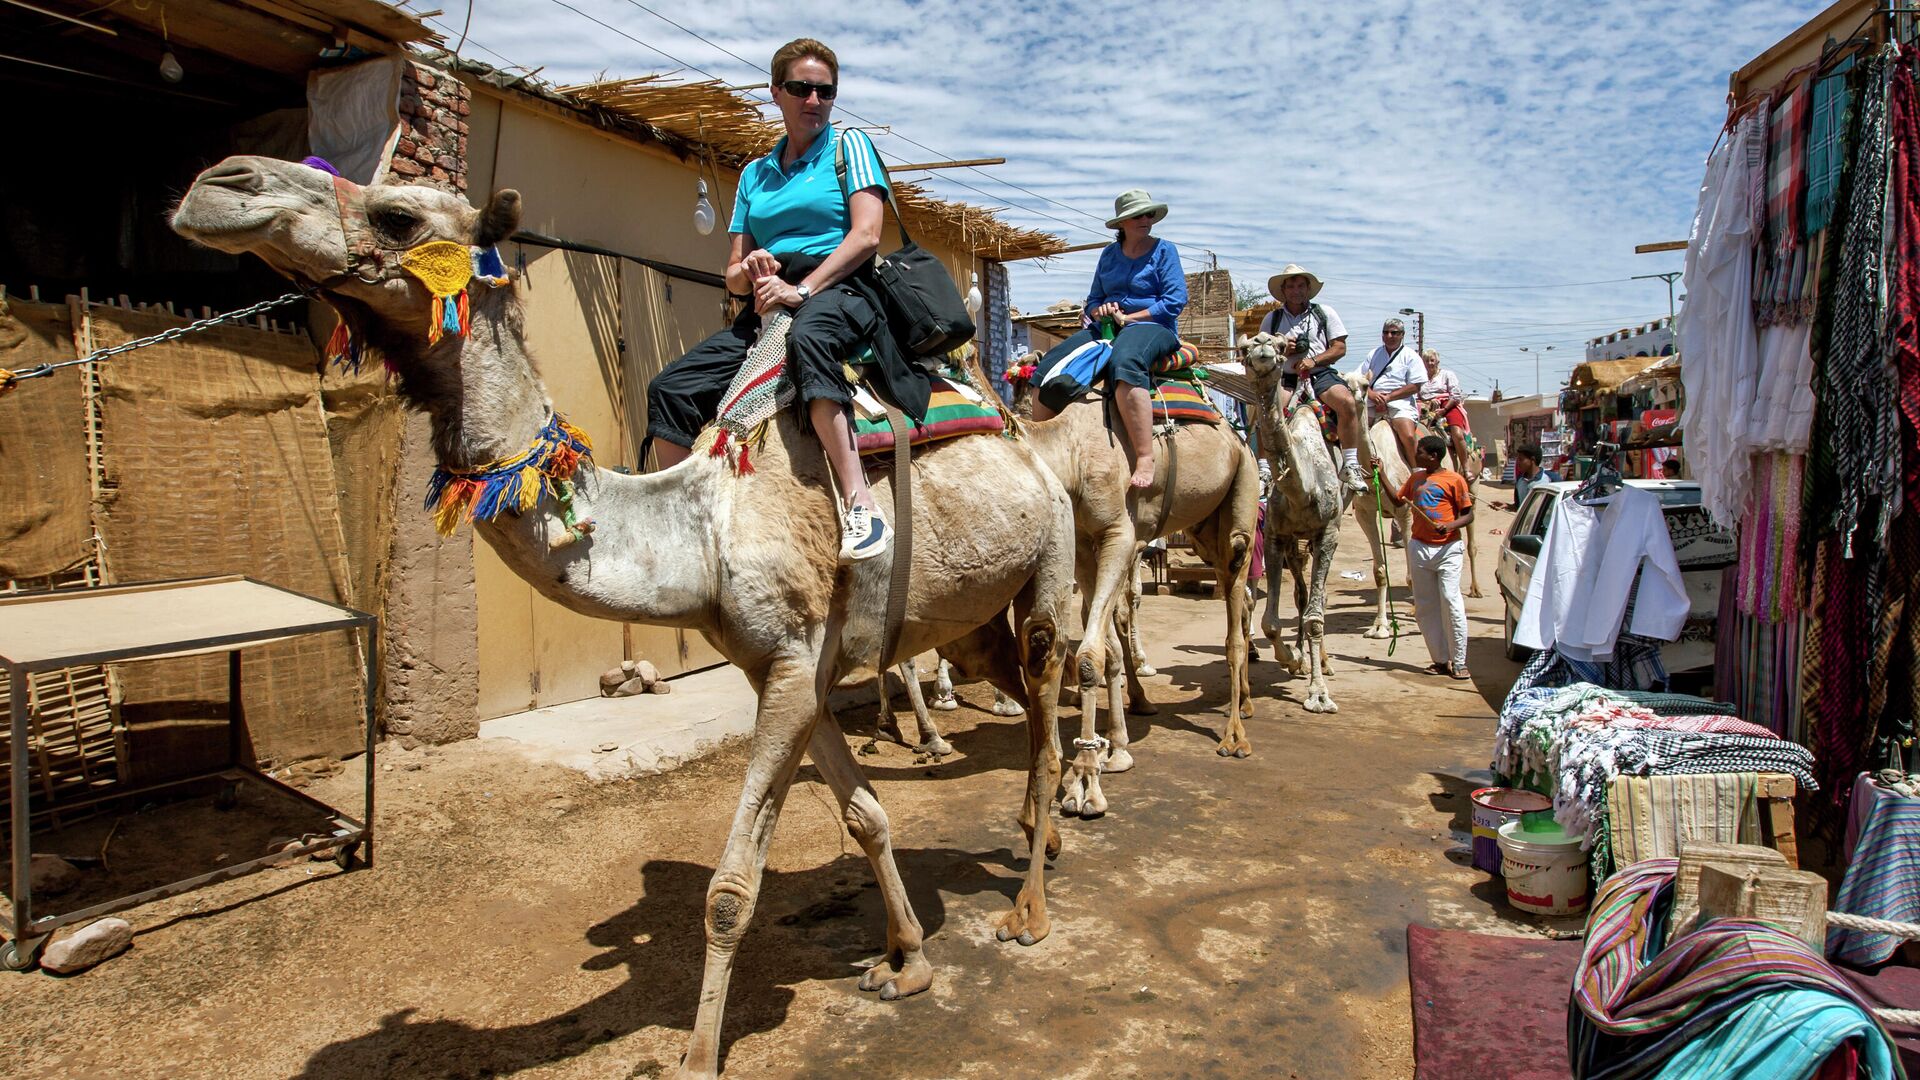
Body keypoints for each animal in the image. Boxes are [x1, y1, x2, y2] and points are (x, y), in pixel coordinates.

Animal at [172, 153, 1082, 1076]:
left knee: (1048, 713)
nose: (223, 183)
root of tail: (1023, 439)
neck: (700, 525)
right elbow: (864, 816)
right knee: (1008, 692)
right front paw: (907, 962)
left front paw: (698, 1057)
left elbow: (731, 889)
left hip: (1049, 563)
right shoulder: (789, 667)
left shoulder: (791, 662)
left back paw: (1031, 910)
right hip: (972, 625)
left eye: (398, 216)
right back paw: (1035, 847)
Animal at [1236, 332, 1344, 711]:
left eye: (1281, 346)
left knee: (1317, 600)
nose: (1262, 348)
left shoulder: (1328, 532)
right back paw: (1304, 659)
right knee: (1300, 592)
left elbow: (1315, 617)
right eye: (1243, 349)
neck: (1303, 487)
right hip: (1297, 542)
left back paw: (1324, 663)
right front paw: (1293, 659)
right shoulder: (1275, 534)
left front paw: (1319, 694)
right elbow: (1270, 622)